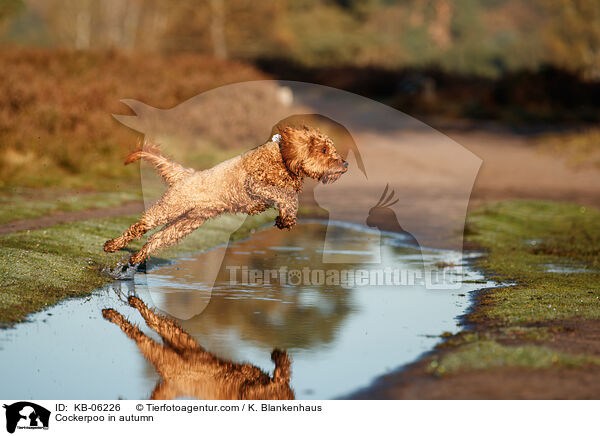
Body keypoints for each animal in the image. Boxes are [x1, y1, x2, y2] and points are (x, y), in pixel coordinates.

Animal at [103, 124, 346, 264]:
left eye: (330, 149)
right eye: (323, 150)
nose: (345, 164)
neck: (281, 158)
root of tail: (184, 175)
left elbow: (289, 200)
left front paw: (285, 219)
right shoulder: (255, 185)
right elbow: (284, 196)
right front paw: (285, 217)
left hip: (184, 226)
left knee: (156, 239)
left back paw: (137, 257)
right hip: (169, 208)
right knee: (140, 226)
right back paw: (112, 245)